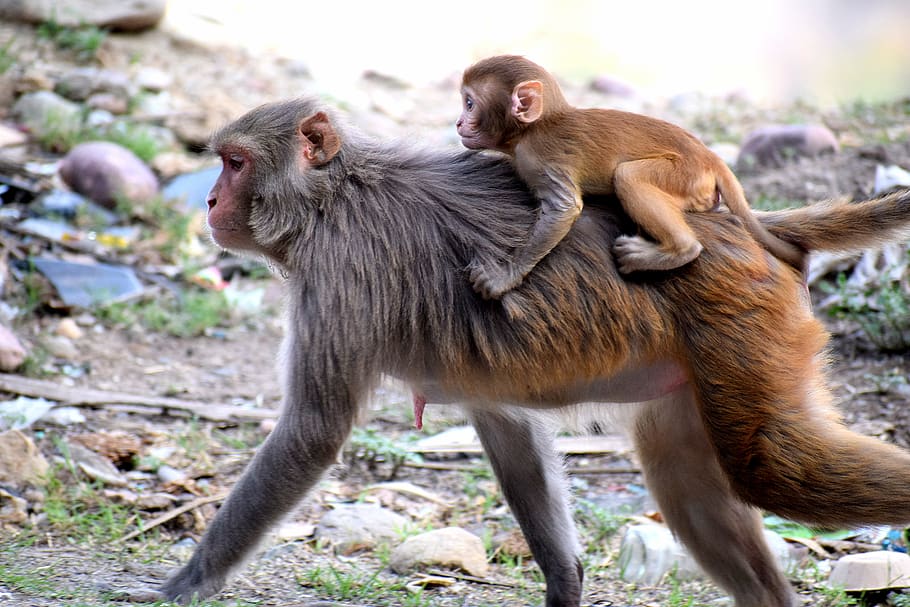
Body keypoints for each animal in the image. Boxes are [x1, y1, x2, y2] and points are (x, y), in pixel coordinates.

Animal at [156, 97, 910, 607]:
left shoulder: (339, 272)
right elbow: (508, 429)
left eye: (234, 163)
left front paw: (186, 581)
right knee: (685, 477)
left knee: (773, 468)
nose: (211, 201)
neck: (332, 199)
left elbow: (312, 432)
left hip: (744, 324)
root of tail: (739, 227)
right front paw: (566, 582)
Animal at [456, 55, 805, 302]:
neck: (534, 128)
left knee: (629, 176)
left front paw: (505, 276)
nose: (459, 123)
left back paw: (678, 250)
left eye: (469, 103)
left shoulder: (541, 158)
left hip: (684, 175)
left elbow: (564, 208)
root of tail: (710, 158)